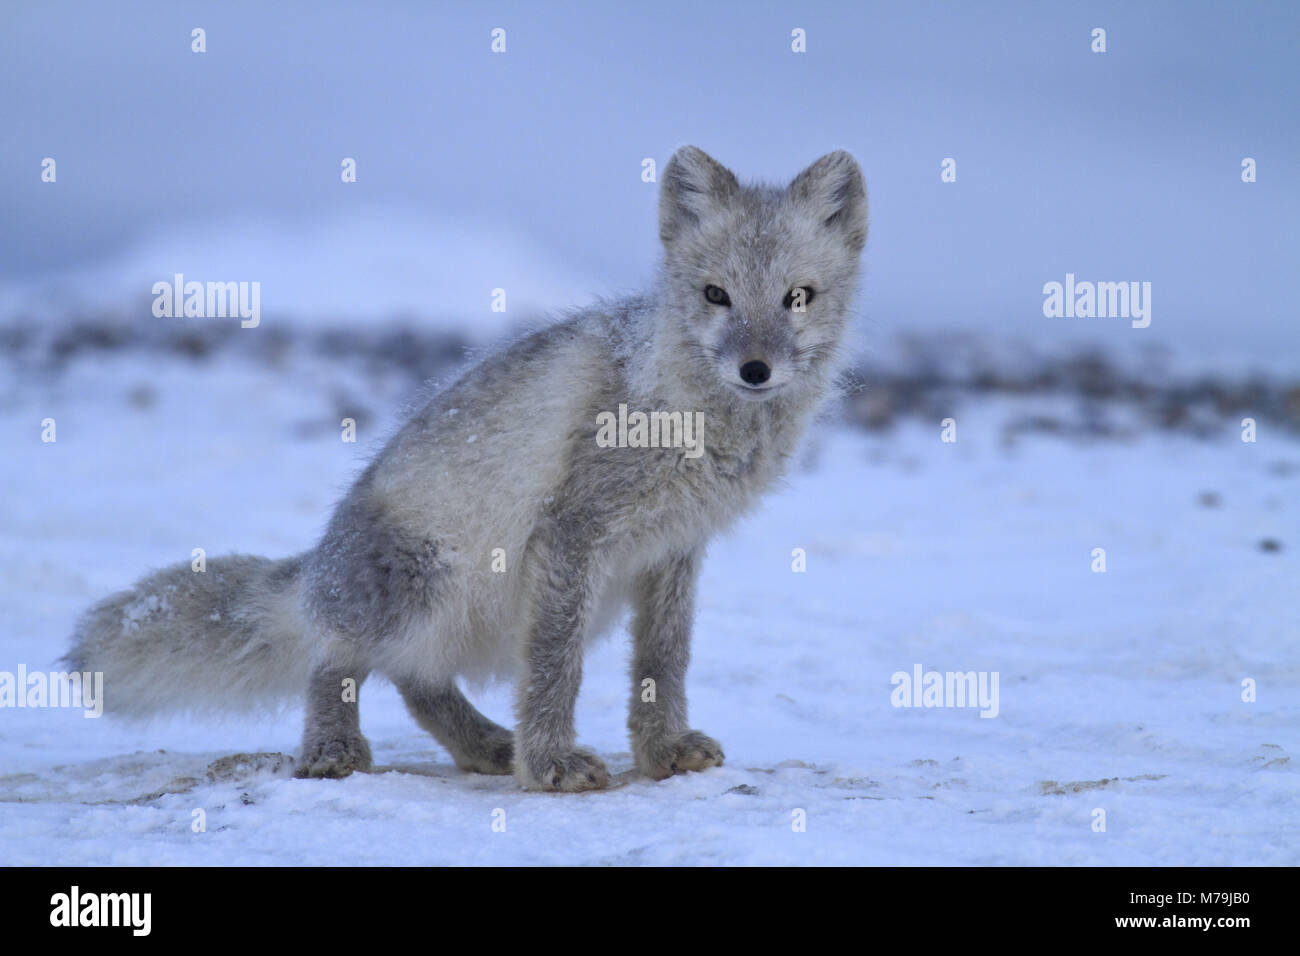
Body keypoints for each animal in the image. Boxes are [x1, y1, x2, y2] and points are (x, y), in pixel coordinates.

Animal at [65, 145, 868, 790]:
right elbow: (554, 666)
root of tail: (315, 570)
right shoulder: (571, 534)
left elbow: (662, 662)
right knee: (338, 657)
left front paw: (663, 751)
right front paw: (550, 766)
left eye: (798, 297)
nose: (756, 369)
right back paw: (333, 748)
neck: (687, 412)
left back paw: (483, 746)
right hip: (423, 581)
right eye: (715, 295)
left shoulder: (672, 550)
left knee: (415, 680)